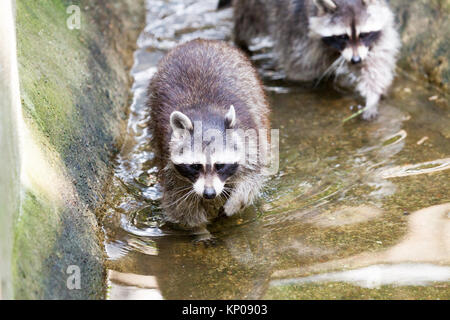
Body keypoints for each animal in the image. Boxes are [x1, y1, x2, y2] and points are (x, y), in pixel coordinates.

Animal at [149, 38, 272, 241]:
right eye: (195, 166)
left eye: (220, 165)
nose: (209, 194)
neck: (205, 116)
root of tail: (197, 41)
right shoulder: (168, 159)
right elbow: (178, 204)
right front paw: (199, 230)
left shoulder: (250, 140)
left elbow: (252, 178)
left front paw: (235, 202)